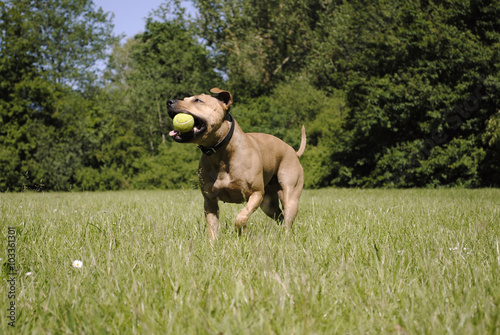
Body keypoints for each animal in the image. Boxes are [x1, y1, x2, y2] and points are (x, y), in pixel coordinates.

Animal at [168, 86, 306, 239]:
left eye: (197, 100)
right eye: (185, 98)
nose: (169, 101)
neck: (221, 153)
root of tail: (294, 152)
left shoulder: (256, 194)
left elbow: (241, 217)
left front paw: (242, 233)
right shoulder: (210, 201)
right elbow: (212, 228)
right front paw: (213, 243)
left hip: (289, 196)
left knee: (287, 217)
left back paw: (286, 237)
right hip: (268, 204)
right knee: (280, 216)